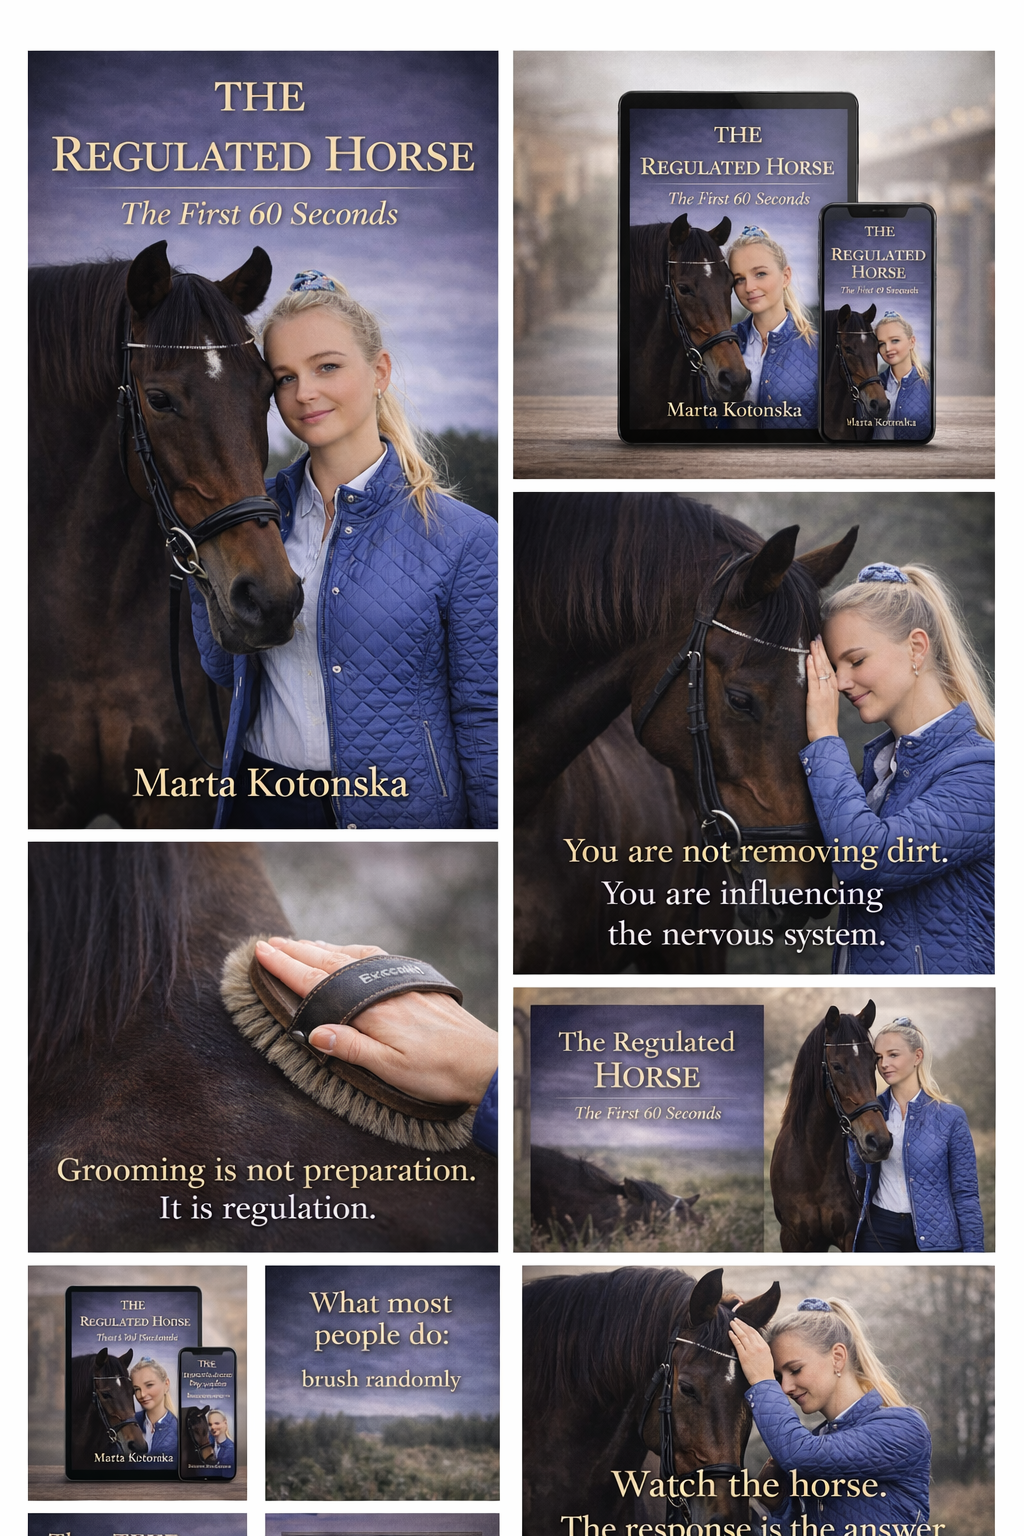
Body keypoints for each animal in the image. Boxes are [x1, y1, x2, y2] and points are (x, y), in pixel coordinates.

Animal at [770, 1001, 893, 1252]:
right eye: (837, 1066)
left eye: (874, 1062)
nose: (879, 1141)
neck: (814, 1165)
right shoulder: (793, 1238)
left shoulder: (851, 1237)